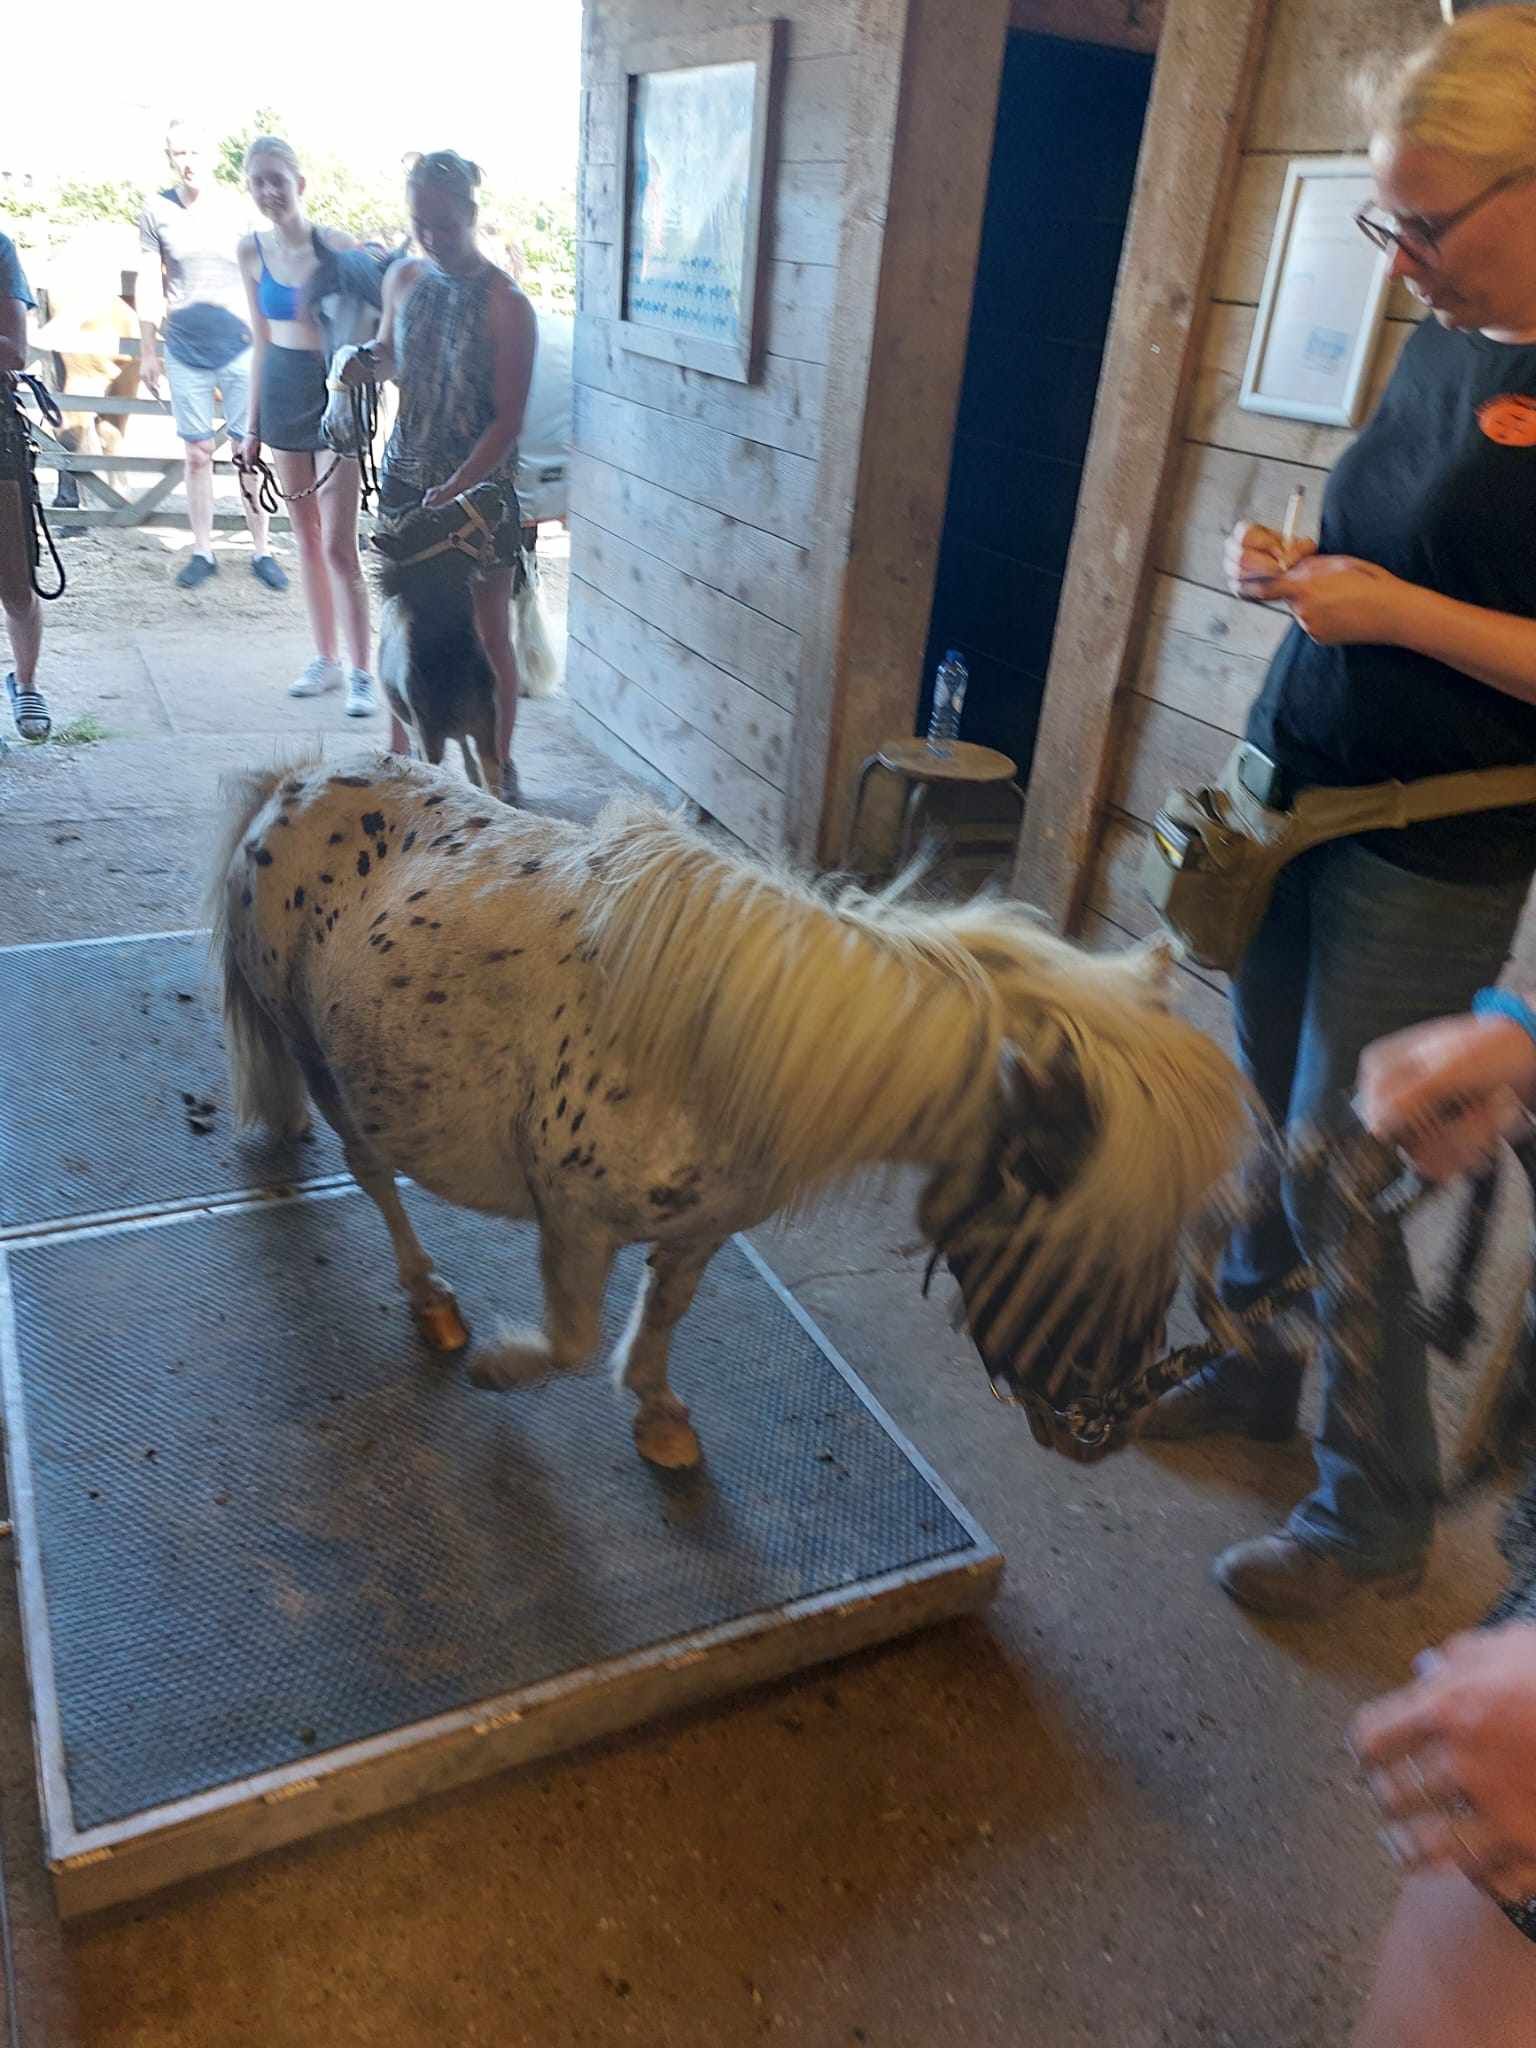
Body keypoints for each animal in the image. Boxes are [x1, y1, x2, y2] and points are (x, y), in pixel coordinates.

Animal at [210, 753, 1250, 1469]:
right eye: (1074, 1230)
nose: (1103, 1427)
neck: (713, 1050)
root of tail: (291, 786)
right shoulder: (574, 1221)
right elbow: (571, 1342)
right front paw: (503, 1368)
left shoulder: (703, 1226)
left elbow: (666, 1314)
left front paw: (658, 1412)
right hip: (321, 1061)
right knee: (373, 1174)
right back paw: (430, 1299)